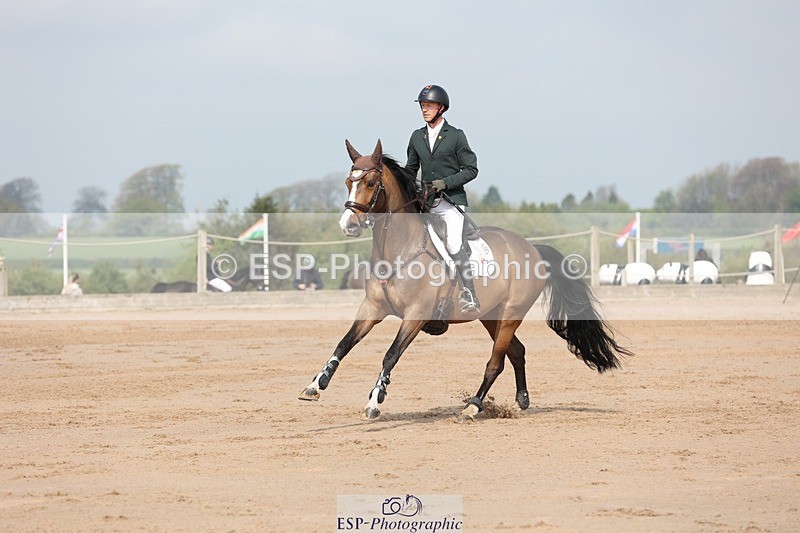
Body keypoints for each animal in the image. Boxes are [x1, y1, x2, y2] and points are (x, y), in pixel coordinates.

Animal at [299, 139, 632, 421]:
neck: (398, 250)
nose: (348, 225)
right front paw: (316, 385)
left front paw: (374, 401)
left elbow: (390, 355)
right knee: (517, 352)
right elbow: (344, 343)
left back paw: (473, 405)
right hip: (491, 316)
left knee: (496, 361)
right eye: (348, 182)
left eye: (370, 183)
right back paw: (521, 401)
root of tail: (532, 248)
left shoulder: (415, 316)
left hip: (510, 314)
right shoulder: (372, 308)